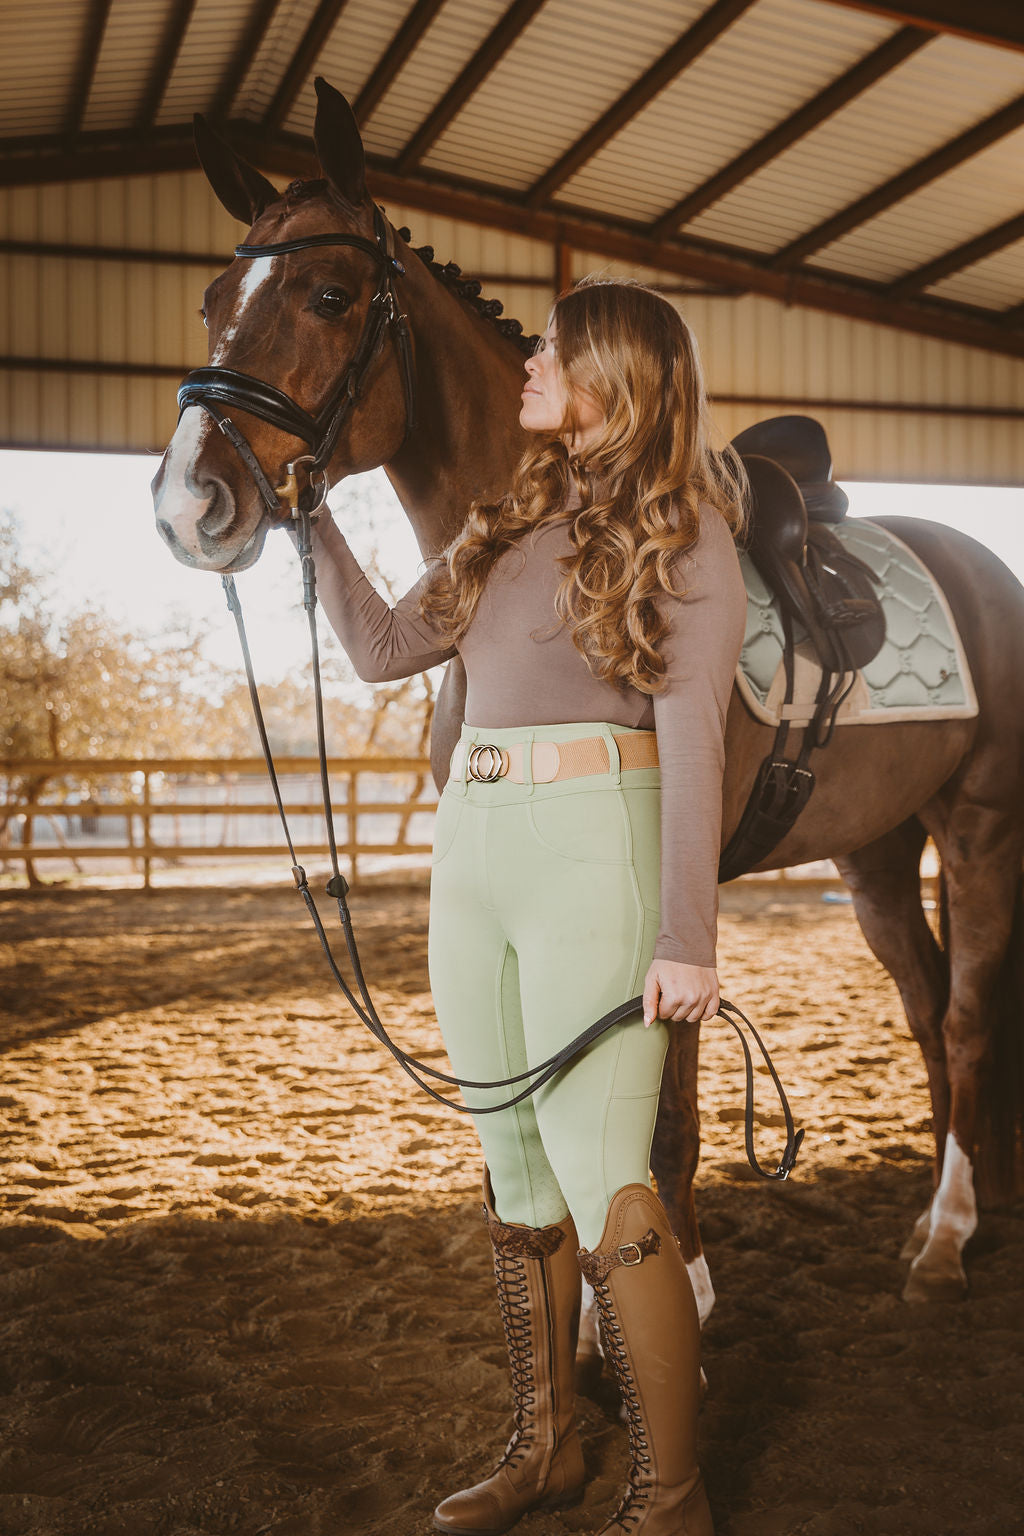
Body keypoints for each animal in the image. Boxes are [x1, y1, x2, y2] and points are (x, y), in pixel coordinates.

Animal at [154, 77, 1024, 1320]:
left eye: (329, 294)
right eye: (213, 298)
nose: (190, 504)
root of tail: (979, 566)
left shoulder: (672, 883)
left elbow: (667, 1109)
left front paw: (685, 1288)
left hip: (980, 827)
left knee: (965, 1017)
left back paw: (945, 1237)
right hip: (875, 850)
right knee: (925, 1007)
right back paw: (959, 1213)